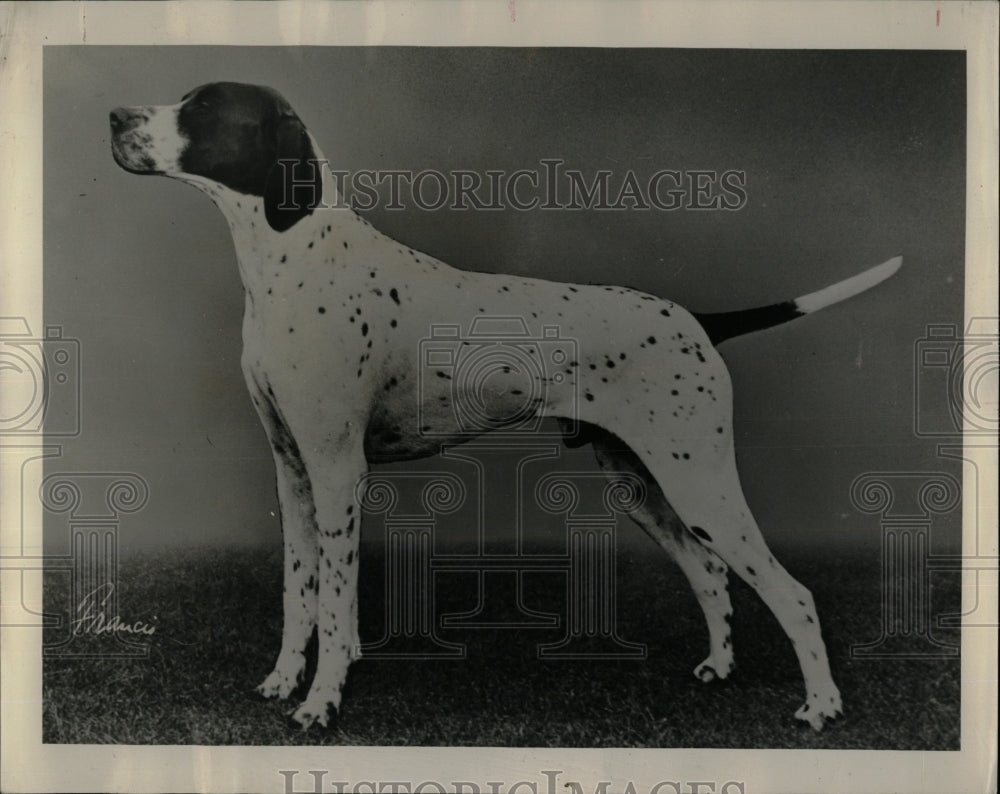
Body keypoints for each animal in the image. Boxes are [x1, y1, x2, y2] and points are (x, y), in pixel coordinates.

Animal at [109, 82, 900, 732]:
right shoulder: (294, 473)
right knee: (709, 573)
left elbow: (334, 606)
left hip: (699, 480)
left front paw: (322, 702)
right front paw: (283, 681)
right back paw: (720, 667)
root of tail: (695, 320)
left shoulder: (336, 474)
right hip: (645, 484)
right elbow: (298, 594)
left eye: (205, 107)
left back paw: (822, 705)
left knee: (793, 595)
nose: (114, 117)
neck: (293, 259)